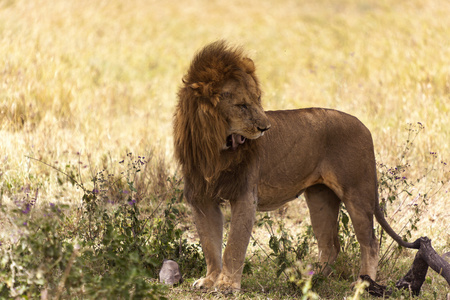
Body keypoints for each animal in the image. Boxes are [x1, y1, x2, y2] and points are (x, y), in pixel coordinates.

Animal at [172, 39, 418, 290]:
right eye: (241, 105)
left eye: (258, 99)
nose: (266, 128)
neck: (213, 146)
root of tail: (364, 125)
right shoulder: (201, 198)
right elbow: (209, 244)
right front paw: (210, 280)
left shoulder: (244, 195)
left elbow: (233, 246)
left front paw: (227, 286)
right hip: (320, 197)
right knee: (330, 244)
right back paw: (311, 279)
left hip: (357, 192)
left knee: (370, 242)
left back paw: (361, 283)